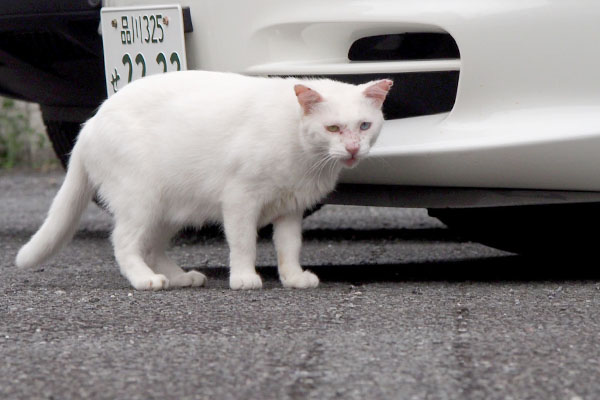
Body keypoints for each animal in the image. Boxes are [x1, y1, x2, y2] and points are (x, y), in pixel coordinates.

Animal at [15, 71, 394, 290]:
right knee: (124, 243)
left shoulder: (290, 208)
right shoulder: (241, 199)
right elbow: (244, 243)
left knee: (151, 246)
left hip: (170, 210)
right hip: (142, 201)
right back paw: (145, 279)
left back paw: (181, 278)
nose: (353, 148)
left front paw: (292, 278)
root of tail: (91, 121)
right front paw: (243, 278)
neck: (303, 150)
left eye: (364, 126)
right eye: (333, 128)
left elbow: (289, 247)